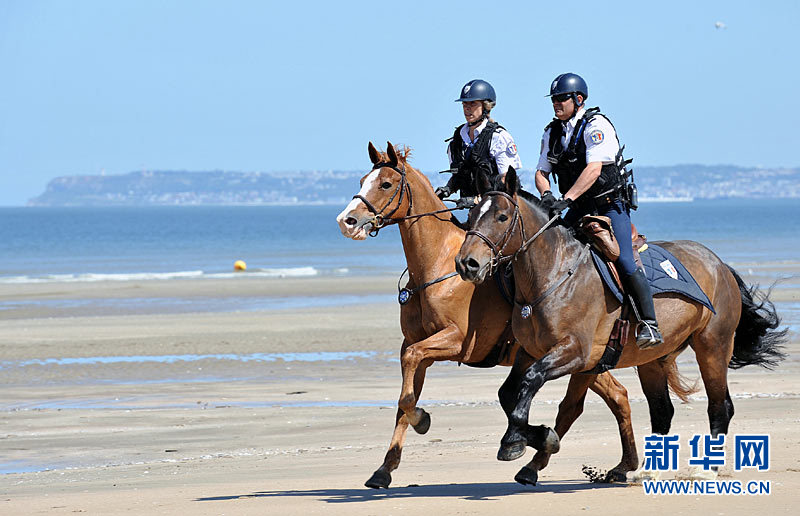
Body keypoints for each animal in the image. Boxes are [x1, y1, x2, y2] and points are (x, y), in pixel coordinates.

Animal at [334, 142, 680, 488]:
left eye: (385, 184)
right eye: (364, 179)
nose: (346, 220)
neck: (439, 267)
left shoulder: (455, 342)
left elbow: (410, 394)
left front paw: (422, 420)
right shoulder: (414, 345)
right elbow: (405, 397)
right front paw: (384, 469)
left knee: (600, 399)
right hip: (585, 359)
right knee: (617, 396)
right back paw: (618, 464)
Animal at [456, 167, 788, 482]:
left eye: (502, 216)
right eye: (471, 215)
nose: (467, 263)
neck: (554, 275)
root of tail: (720, 264)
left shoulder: (575, 353)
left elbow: (532, 384)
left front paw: (516, 441)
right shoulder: (531, 352)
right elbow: (510, 393)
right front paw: (537, 440)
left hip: (712, 346)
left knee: (720, 406)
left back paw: (706, 470)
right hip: (652, 360)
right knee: (662, 411)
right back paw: (646, 471)